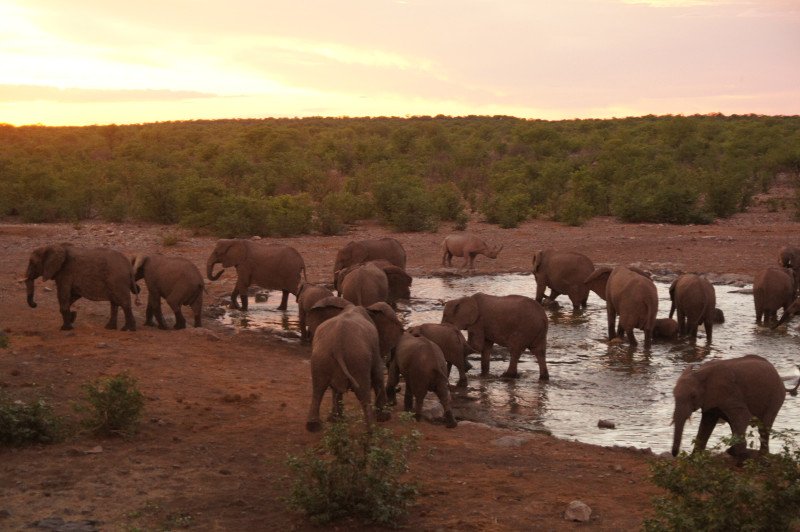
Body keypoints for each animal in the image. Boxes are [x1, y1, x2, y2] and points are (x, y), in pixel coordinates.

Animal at [306, 302, 406, 430]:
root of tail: (337, 344)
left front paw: (336, 420)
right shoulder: (374, 345)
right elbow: (378, 373)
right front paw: (384, 418)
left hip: (320, 357)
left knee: (318, 388)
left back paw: (314, 426)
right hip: (358, 359)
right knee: (362, 391)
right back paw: (371, 430)